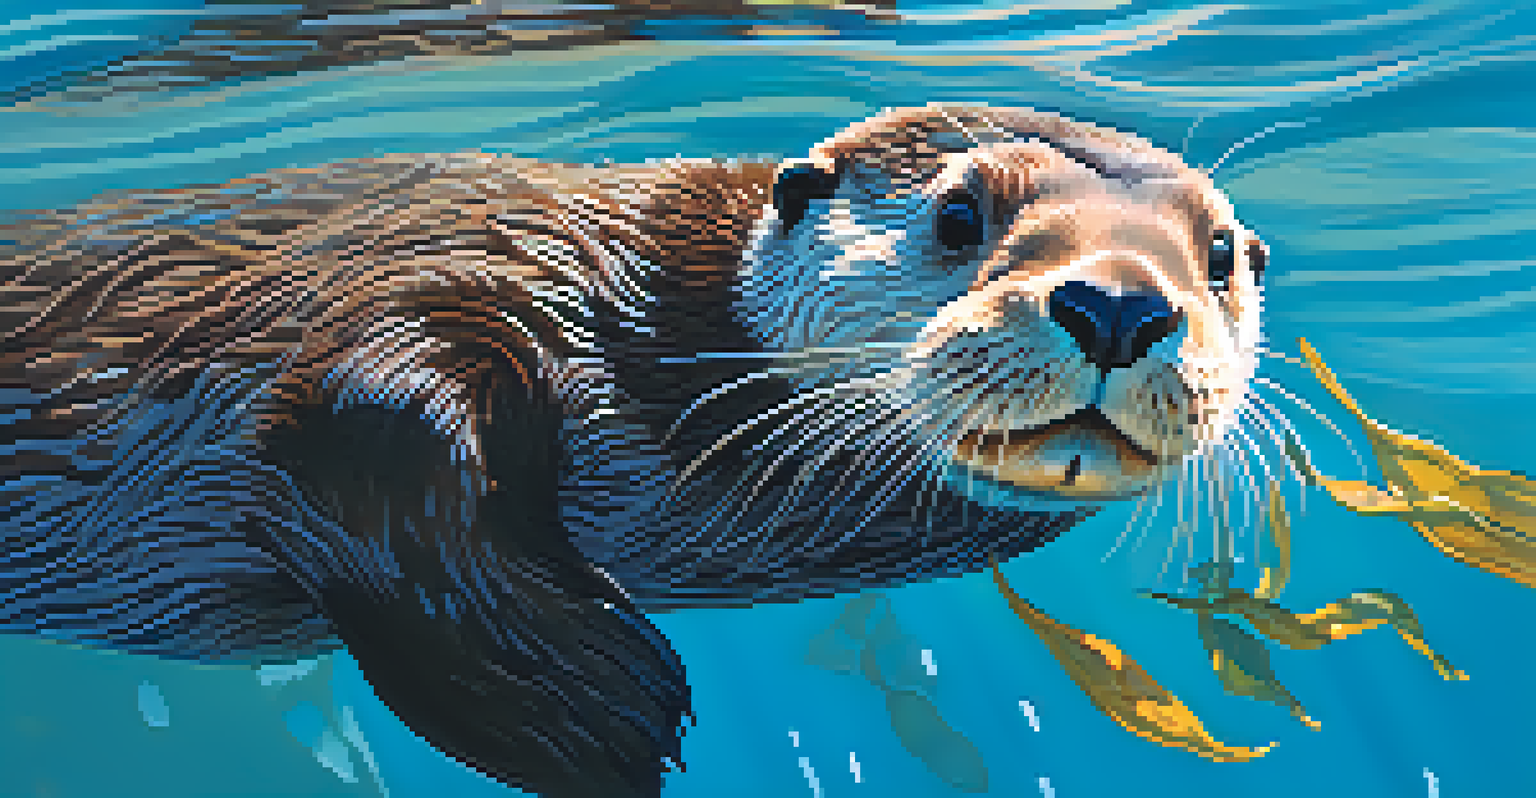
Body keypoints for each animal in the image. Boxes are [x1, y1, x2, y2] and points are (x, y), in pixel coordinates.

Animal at [0, 104, 1268, 797]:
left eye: (1218, 255)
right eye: (962, 215)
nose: (1118, 305)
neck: (651, 314)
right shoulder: (431, 274)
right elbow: (364, 415)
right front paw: (599, 704)